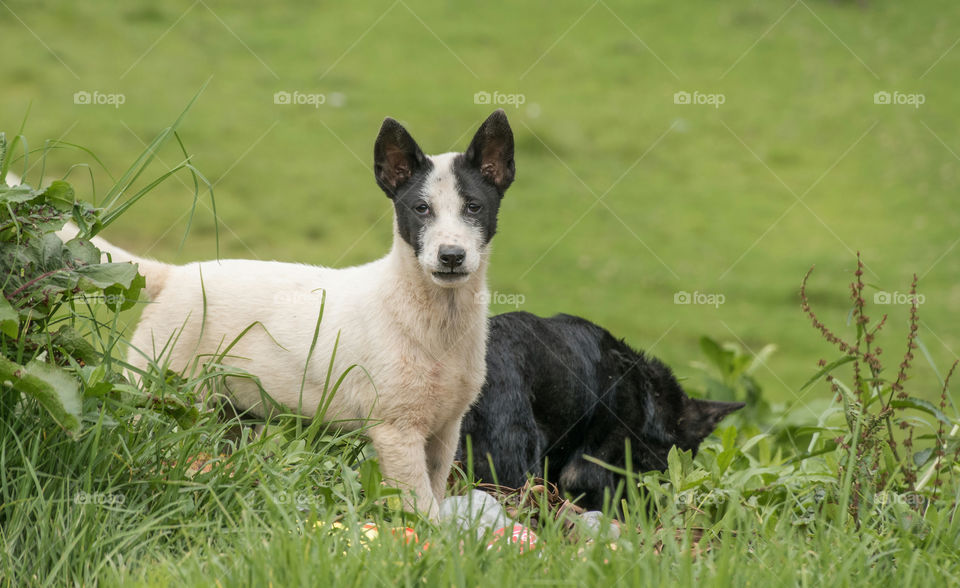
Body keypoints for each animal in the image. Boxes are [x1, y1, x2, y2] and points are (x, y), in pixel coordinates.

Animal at [61, 108, 516, 516]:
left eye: (474, 207)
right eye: (421, 210)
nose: (451, 256)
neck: (434, 319)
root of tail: (174, 277)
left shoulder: (445, 430)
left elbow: (434, 494)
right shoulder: (396, 432)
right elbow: (421, 511)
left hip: (227, 412)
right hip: (158, 390)